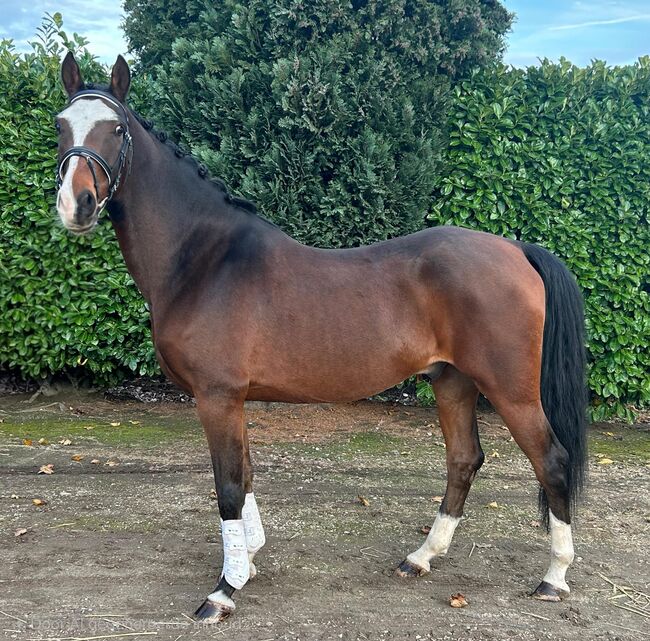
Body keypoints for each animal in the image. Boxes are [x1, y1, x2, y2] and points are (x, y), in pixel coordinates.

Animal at [54, 52, 587, 623]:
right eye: (61, 126)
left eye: (116, 129)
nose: (77, 204)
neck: (204, 259)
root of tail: (516, 249)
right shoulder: (234, 400)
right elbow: (246, 477)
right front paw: (249, 563)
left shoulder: (217, 397)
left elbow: (228, 486)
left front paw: (223, 591)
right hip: (452, 381)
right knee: (464, 460)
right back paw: (421, 557)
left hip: (511, 390)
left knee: (552, 461)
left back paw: (555, 577)